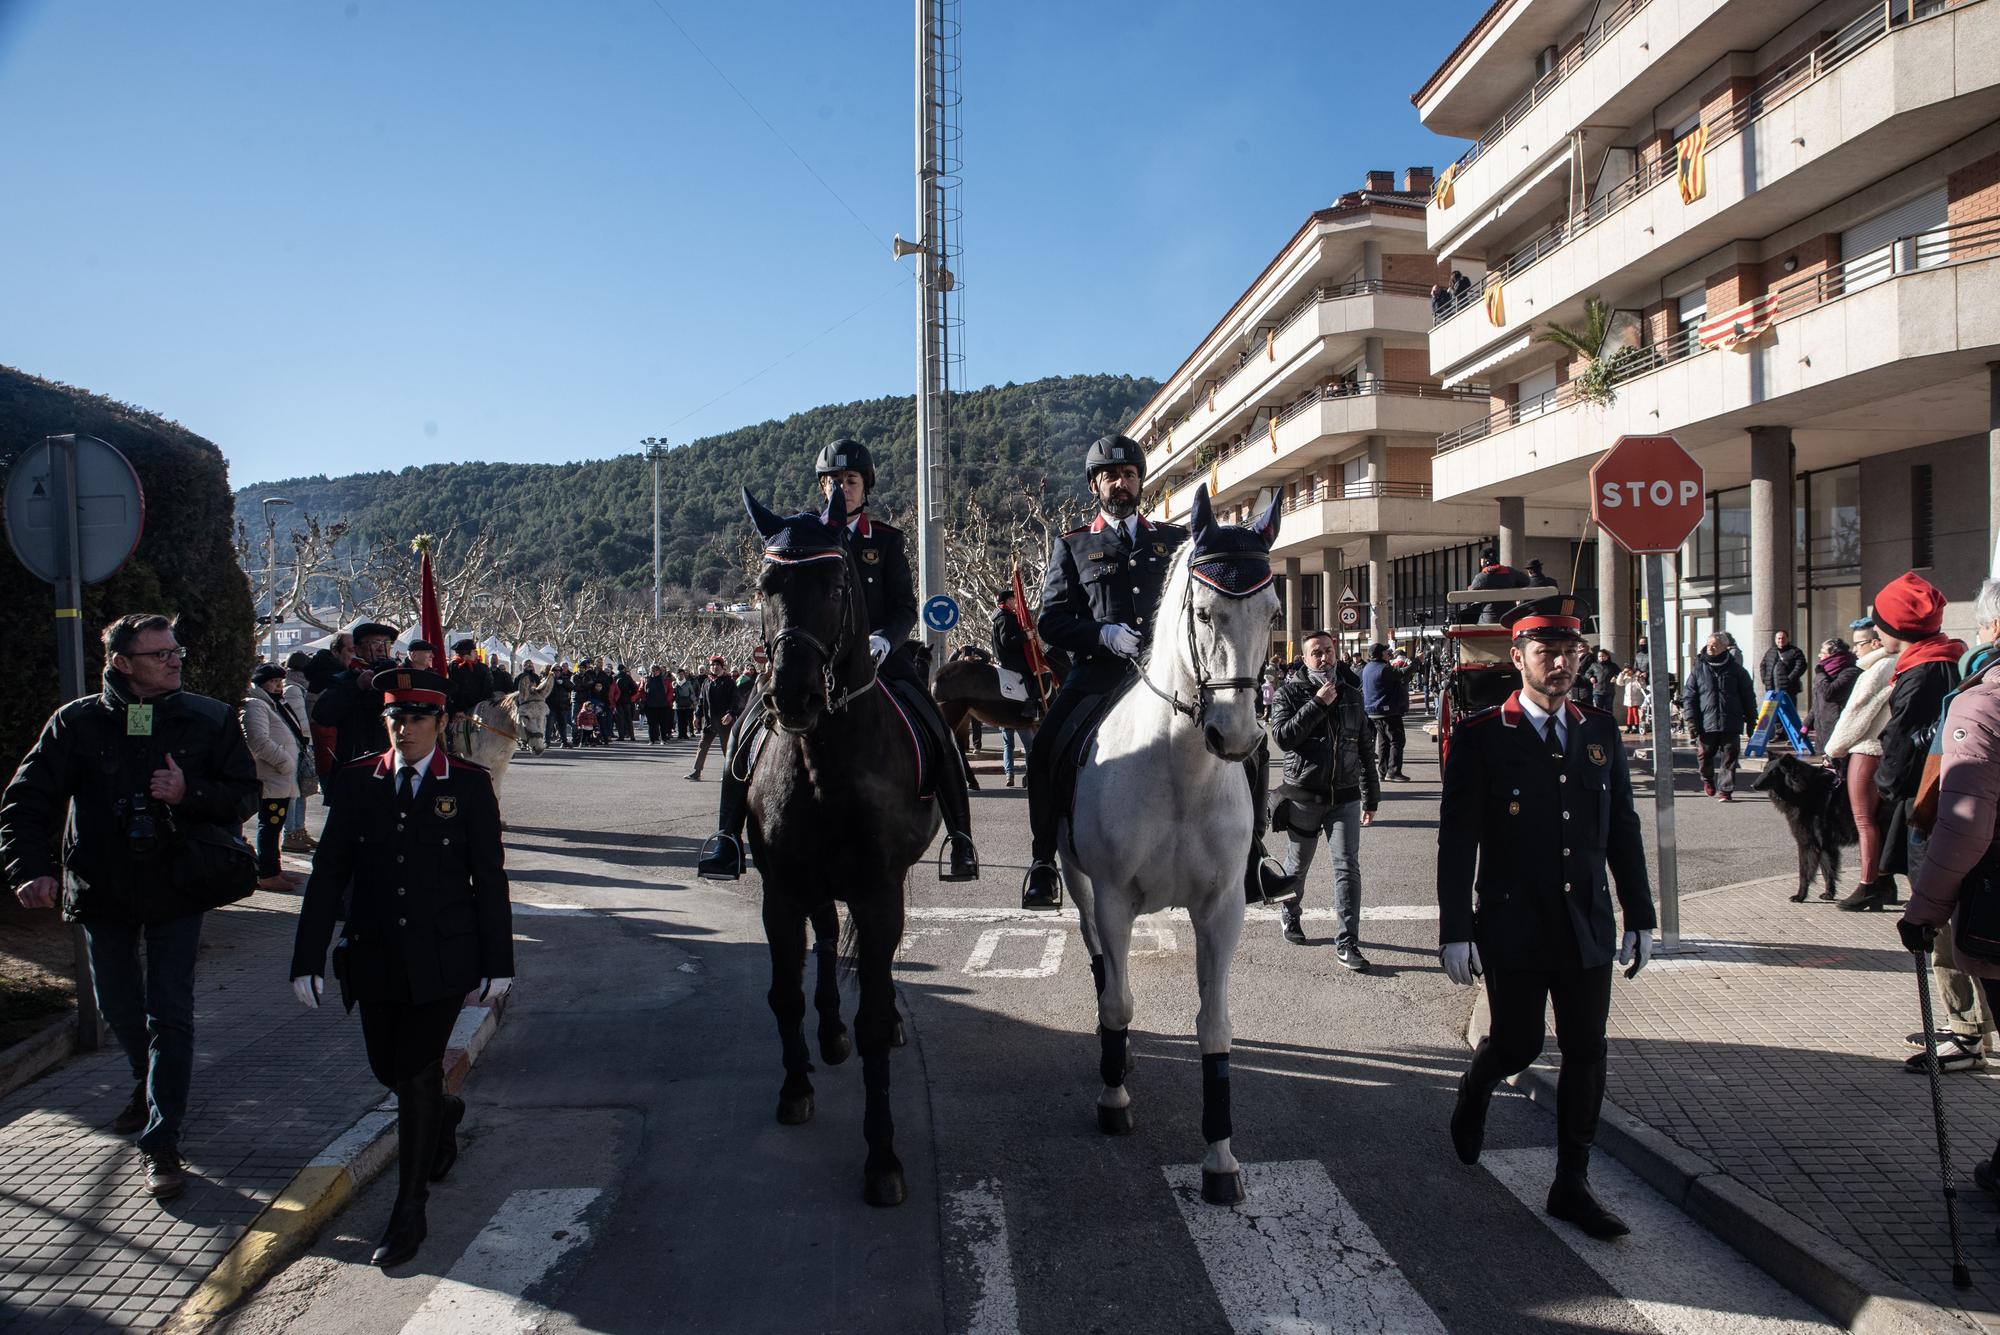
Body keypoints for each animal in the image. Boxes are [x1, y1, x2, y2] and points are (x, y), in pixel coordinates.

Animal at [744, 481, 936, 1207]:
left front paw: (882, 1155)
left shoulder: (880, 891)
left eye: (835, 584)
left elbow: (878, 1018)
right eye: (763, 584)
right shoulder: (780, 889)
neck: (824, 756)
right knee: (826, 938)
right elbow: (785, 992)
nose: (791, 697)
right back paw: (828, 1033)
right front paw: (796, 1084)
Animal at [1064, 481, 1280, 1207]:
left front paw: (1220, 1156)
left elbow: (1215, 1026)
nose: (1236, 737)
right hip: (1074, 880)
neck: (1180, 767)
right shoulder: (1112, 896)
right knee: (1100, 960)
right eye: (1206, 611)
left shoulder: (1222, 906)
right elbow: (1119, 997)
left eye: (1273, 612)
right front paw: (1113, 1099)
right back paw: (1116, 1055)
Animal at [1752, 755, 1856, 903]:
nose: (1753, 786)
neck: (1805, 791)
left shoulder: (1807, 843)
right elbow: (1828, 870)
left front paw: (1800, 896)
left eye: (1774, 772)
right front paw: (1829, 894)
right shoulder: (1825, 845)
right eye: (1764, 769)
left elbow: (1804, 872)